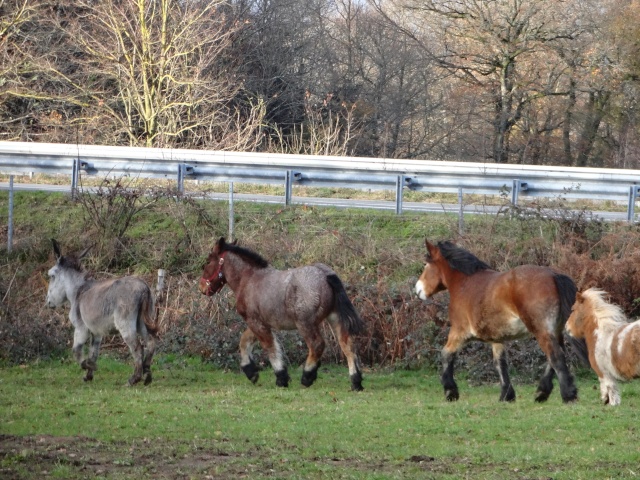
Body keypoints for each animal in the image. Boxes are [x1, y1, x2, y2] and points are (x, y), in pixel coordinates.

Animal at [45, 240, 158, 386]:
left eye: (51, 276)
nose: (48, 302)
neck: (78, 291)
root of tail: (143, 287)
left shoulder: (81, 329)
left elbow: (76, 351)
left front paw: (90, 366)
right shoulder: (96, 333)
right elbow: (93, 353)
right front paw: (88, 375)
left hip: (125, 324)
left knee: (137, 348)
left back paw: (134, 379)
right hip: (141, 322)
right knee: (150, 343)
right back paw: (147, 375)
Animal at [198, 236, 368, 390]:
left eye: (208, 262)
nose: (202, 288)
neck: (249, 279)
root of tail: (325, 273)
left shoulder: (256, 322)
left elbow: (270, 347)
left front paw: (281, 378)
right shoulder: (260, 322)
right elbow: (245, 341)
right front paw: (251, 371)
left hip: (305, 323)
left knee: (317, 345)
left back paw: (307, 377)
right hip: (335, 318)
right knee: (348, 345)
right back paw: (356, 382)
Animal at [412, 239, 588, 402]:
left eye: (425, 264)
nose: (417, 290)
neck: (464, 283)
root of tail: (553, 275)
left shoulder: (459, 332)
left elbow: (445, 355)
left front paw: (450, 391)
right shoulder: (497, 338)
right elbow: (500, 363)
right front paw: (506, 395)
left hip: (541, 331)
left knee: (556, 356)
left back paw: (568, 395)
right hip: (554, 331)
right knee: (555, 357)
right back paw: (542, 392)